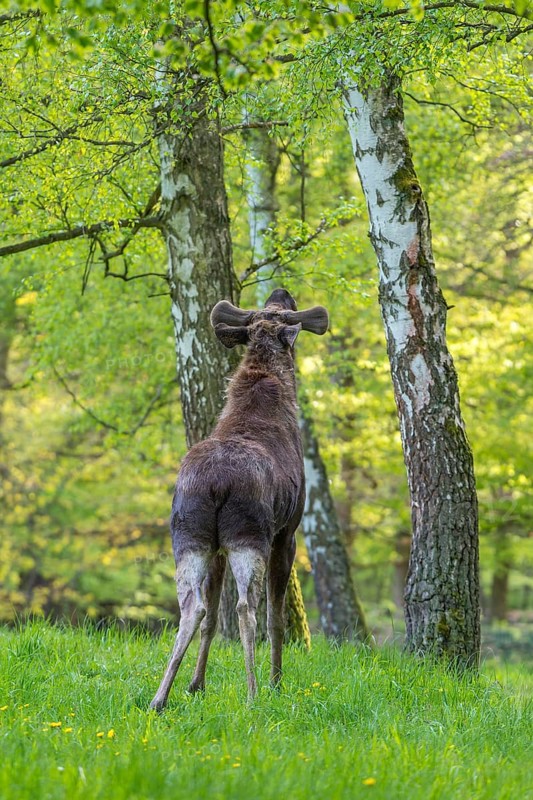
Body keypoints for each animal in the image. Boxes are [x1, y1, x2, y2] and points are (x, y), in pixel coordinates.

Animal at [149, 288, 329, 710]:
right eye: (278, 308)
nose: (281, 290)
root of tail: (217, 485)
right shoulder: (287, 533)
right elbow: (276, 619)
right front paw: (277, 682)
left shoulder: (216, 548)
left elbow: (213, 617)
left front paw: (196, 684)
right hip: (250, 537)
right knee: (246, 608)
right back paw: (253, 693)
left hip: (190, 538)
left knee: (193, 607)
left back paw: (159, 698)